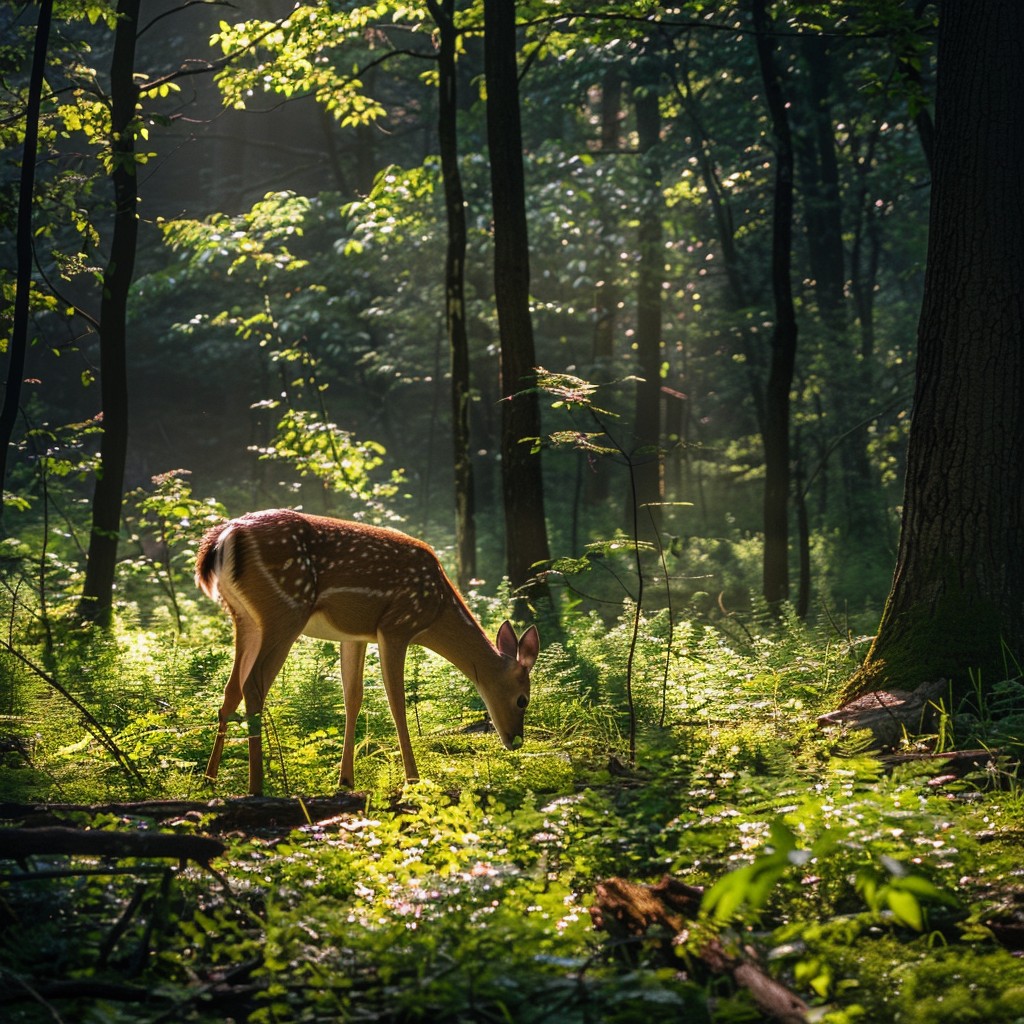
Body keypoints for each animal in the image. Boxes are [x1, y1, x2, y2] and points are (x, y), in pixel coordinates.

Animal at [195, 508, 540, 795]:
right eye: (523, 699)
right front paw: (413, 779)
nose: (516, 741)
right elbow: (397, 703)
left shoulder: (354, 635)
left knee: (229, 690)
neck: (437, 611)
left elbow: (353, 698)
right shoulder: (396, 626)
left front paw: (346, 780)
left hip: (244, 617)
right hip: (285, 609)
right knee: (253, 685)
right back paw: (256, 786)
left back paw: (209, 780)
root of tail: (224, 538)